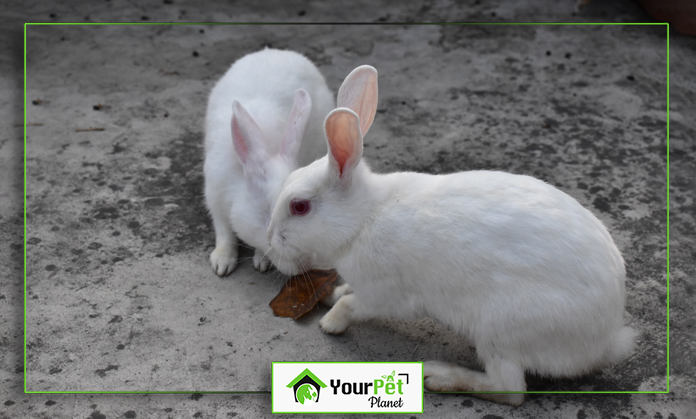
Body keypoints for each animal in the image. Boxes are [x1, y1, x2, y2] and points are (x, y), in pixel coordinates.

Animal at [204, 49, 378, 278]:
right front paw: (222, 262)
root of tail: (274, 51)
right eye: (267, 216)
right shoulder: (214, 197)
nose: (304, 265)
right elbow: (224, 231)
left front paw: (261, 260)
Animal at [266, 69, 636, 406]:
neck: (364, 219)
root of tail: (604, 342)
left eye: (299, 207)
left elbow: (352, 305)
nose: (270, 243)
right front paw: (334, 294)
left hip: (499, 328)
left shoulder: (385, 295)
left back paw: (439, 376)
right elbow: (346, 294)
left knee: (510, 390)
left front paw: (330, 323)